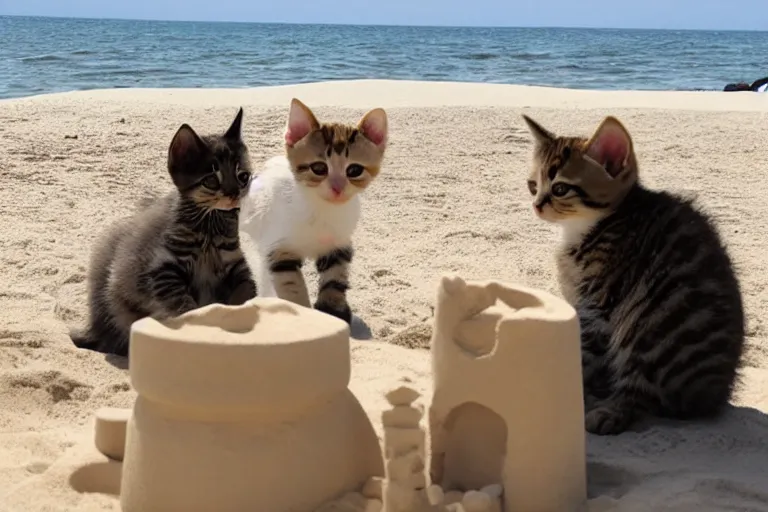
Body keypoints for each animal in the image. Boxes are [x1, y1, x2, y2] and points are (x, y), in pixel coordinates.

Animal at [70, 108, 255, 356]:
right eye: (211, 180)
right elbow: (184, 305)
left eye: (243, 177)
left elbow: (247, 288)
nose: (235, 194)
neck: (209, 225)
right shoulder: (162, 269)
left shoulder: (237, 263)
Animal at [240, 98, 388, 322]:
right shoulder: (278, 247)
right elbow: (290, 283)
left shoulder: (339, 243)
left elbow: (335, 277)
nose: (337, 188)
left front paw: (333, 309)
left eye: (354, 170)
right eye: (319, 168)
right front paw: (302, 313)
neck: (322, 210)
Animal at [520, 114, 744, 434]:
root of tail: (714, 396)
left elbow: (582, 354)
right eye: (532, 185)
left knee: (640, 392)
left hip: (649, 326)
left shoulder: (600, 307)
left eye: (561, 189)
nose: (536, 205)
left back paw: (608, 411)